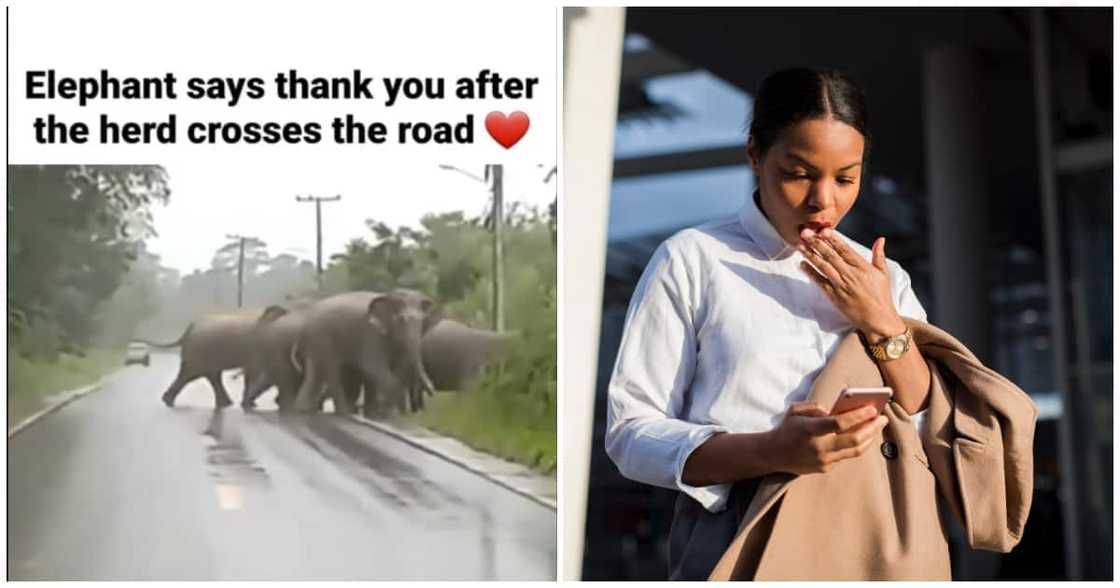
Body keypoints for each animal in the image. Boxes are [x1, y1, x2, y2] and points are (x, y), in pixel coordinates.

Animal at [293, 286, 441, 414]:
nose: (432, 390)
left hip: (315, 343)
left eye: (422, 321)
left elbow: (387, 370)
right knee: (332, 371)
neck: (388, 295)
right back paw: (344, 412)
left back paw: (303, 409)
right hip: (322, 338)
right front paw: (388, 413)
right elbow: (372, 367)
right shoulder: (370, 334)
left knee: (315, 373)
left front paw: (376, 413)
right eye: (401, 319)